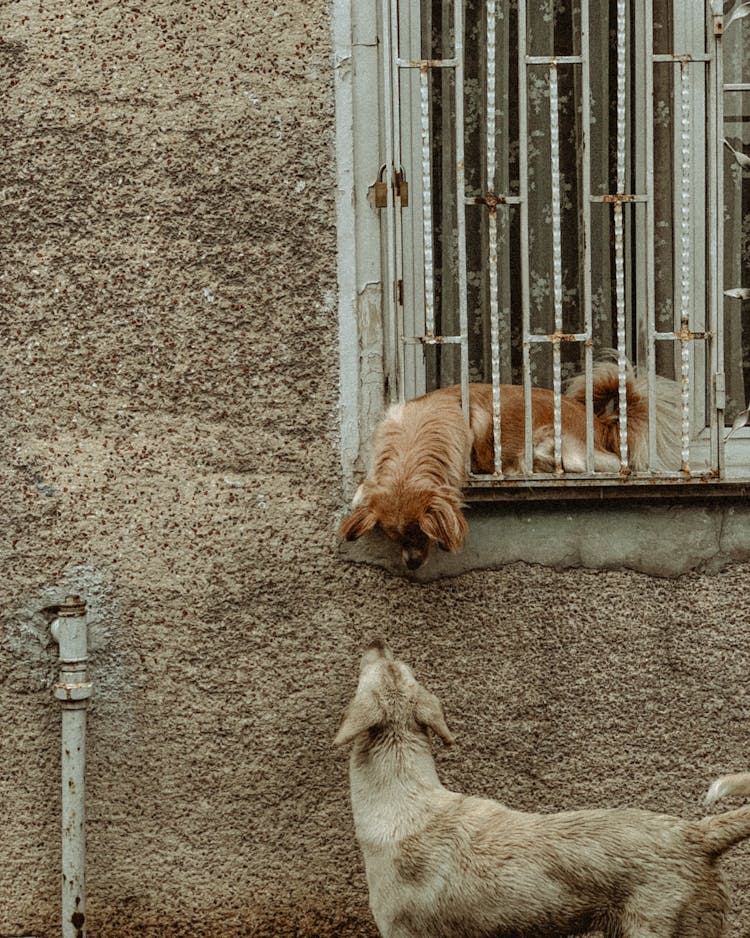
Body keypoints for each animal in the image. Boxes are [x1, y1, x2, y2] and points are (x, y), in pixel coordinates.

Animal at [344, 356, 684, 564]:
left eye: (421, 534)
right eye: (394, 537)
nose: (412, 564)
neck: (419, 432)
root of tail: (599, 422)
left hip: (560, 445)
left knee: (608, 464)